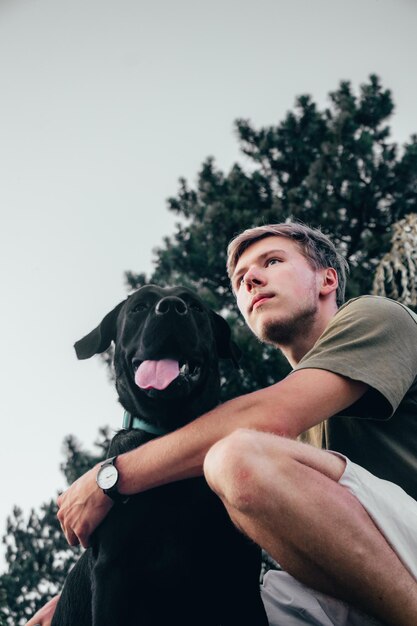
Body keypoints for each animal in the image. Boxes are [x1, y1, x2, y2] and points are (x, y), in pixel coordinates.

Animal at [52, 286, 266, 624]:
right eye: (139, 307)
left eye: (195, 306)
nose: (172, 308)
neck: (171, 435)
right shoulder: (112, 571)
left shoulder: (239, 572)